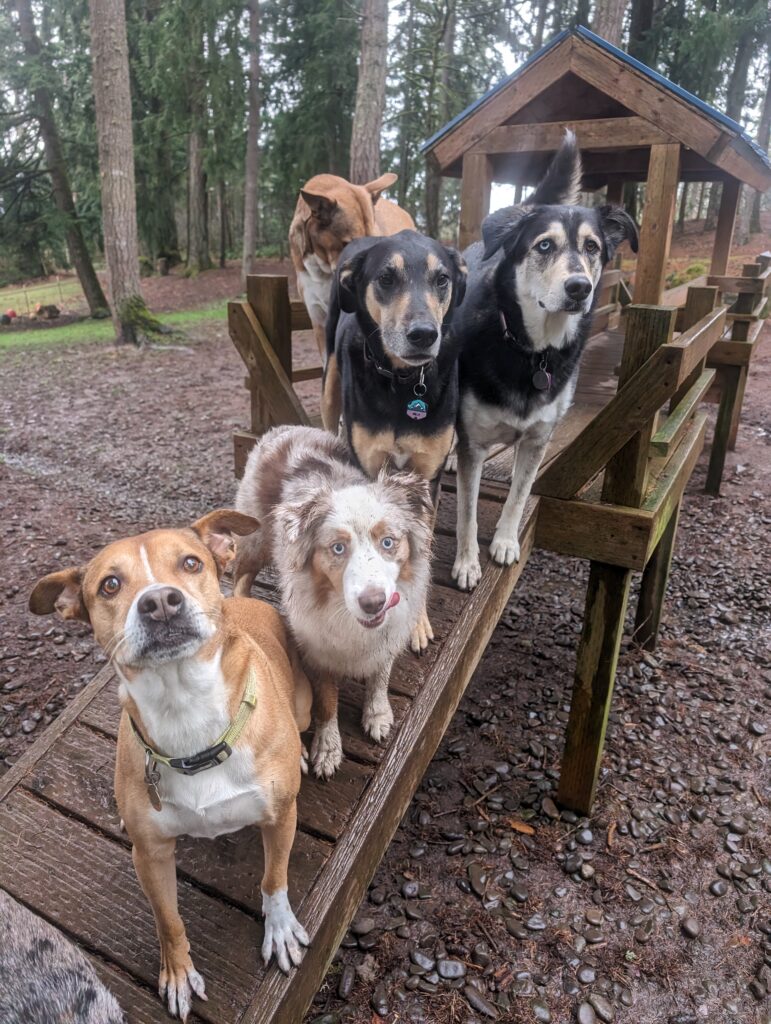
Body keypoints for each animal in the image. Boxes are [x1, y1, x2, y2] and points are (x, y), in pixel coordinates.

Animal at [30, 510, 312, 1021]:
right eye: (110, 585)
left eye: (190, 562)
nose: (160, 602)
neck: (187, 711)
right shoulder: (151, 856)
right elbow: (169, 920)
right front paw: (178, 971)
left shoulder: (280, 817)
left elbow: (274, 879)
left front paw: (280, 929)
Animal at [233, 426, 433, 778]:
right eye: (338, 548)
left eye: (388, 542)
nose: (374, 602)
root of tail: (283, 429)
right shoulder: (317, 648)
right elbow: (327, 701)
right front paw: (327, 748)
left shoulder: (388, 632)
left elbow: (380, 675)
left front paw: (377, 714)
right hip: (256, 536)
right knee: (240, 573)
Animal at [322, 229, 467, 651]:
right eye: (386, 278)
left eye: (442, 279)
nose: (423, 334)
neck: (403, 383)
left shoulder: (427, 475)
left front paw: (416, 623)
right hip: (330, 381)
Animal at [451, 131, 639, 591]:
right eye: (544, 245)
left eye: (592, 247)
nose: (579, 287)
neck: (532, 351)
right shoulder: (473, 444)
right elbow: (466, 510)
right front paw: (466, 563)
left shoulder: (538, 439)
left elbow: (519, 495)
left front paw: (504, 541)